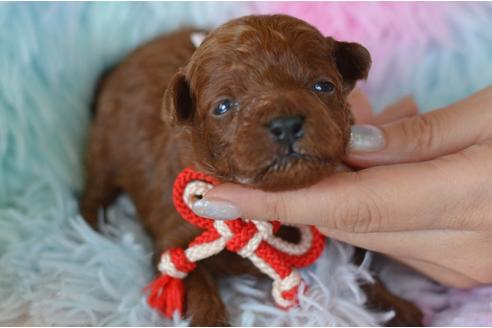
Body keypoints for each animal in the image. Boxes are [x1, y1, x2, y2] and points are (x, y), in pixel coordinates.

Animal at [81, 14, 422, 326]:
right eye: (223, 106)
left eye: (323, 86)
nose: (286, 124)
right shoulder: (173, 236)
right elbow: (195, 288)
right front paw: (211, 319)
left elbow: (360, 264)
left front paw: (397, 307)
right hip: (103, 146)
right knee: (95, 187)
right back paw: (93, 226)